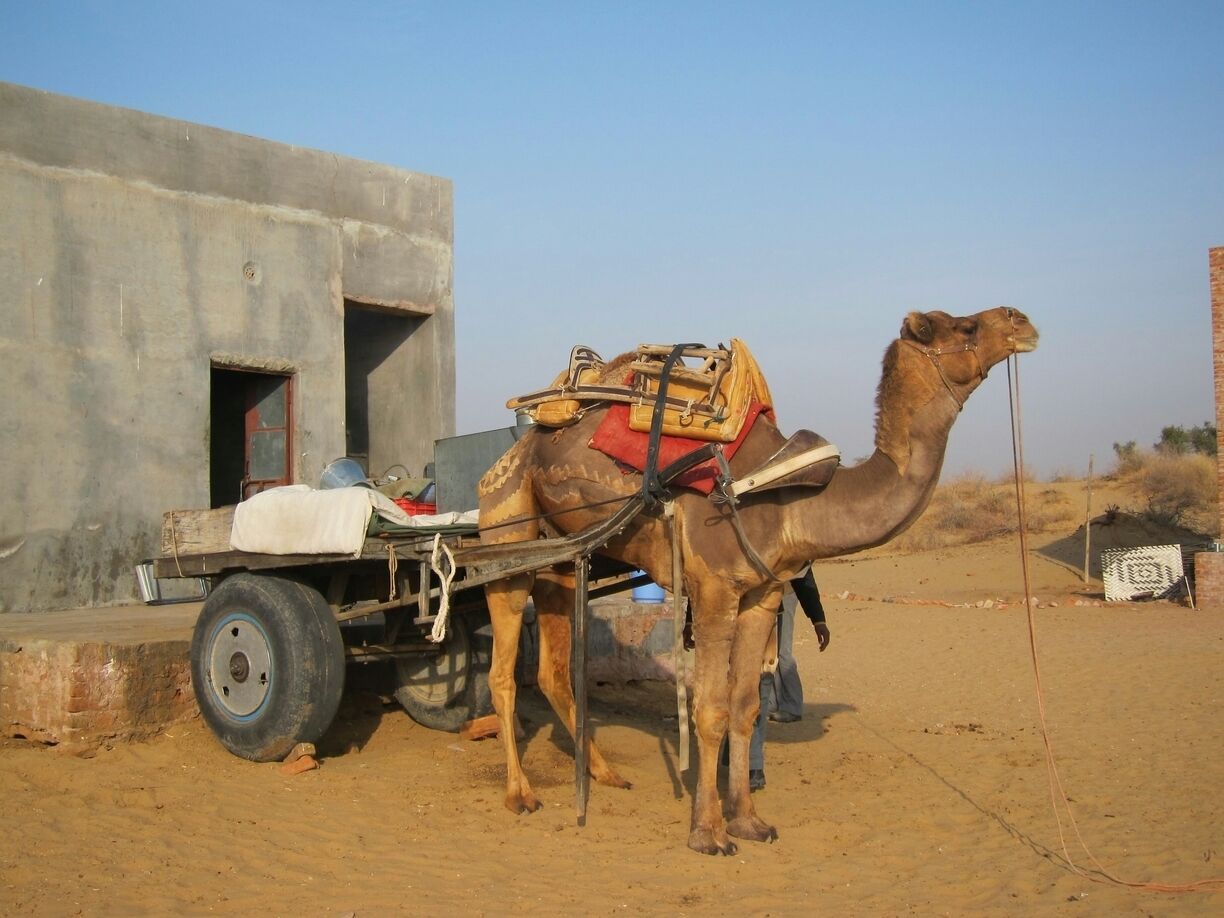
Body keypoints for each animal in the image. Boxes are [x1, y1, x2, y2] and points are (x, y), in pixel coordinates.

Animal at [476, 306, 1039, 855]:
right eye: (965, 326)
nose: (1022, 321)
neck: (788, 495)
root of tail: (516, 449)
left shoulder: (762, 594)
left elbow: (745, 707)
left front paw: (749, 822)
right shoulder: (714, 589)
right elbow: (709, 710)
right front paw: (708, 834)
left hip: (561, 559)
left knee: (553, 670)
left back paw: (606, 774)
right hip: (507, 531)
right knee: (502, 672)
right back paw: (520, 794)